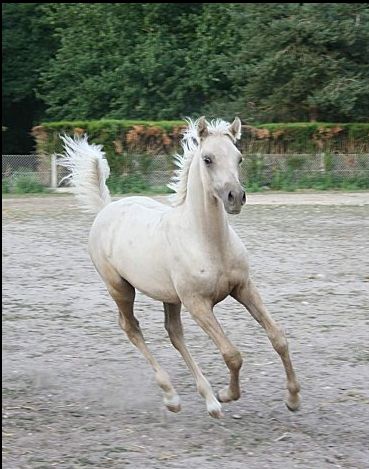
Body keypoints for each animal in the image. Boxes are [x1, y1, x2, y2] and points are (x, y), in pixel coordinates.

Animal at [59, 117, 300, 416]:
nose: (235, 197)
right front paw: (227, 394)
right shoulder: (198, 304)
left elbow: (278, 337)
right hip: (120, 289)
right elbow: (231, 354)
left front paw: (293, 398)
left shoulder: (243, 287)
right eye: (208, 159)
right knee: (131, 327)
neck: (207, 242)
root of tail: (106, 209)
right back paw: (174, 396)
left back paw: (207, 398)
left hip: (170, 297)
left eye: (239, 158)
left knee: (174, 333)